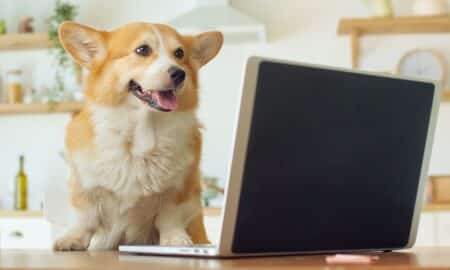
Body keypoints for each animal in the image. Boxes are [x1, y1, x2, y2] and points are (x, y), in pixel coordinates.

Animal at [53, 21, 222, 251]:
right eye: (142, 50)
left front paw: (175, 239)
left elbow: (170, 218)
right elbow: (84, 218)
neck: (140, 135)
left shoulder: (179, 189)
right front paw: (73, 239)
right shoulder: (86, 187)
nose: (179, 74)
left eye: (179, 53)